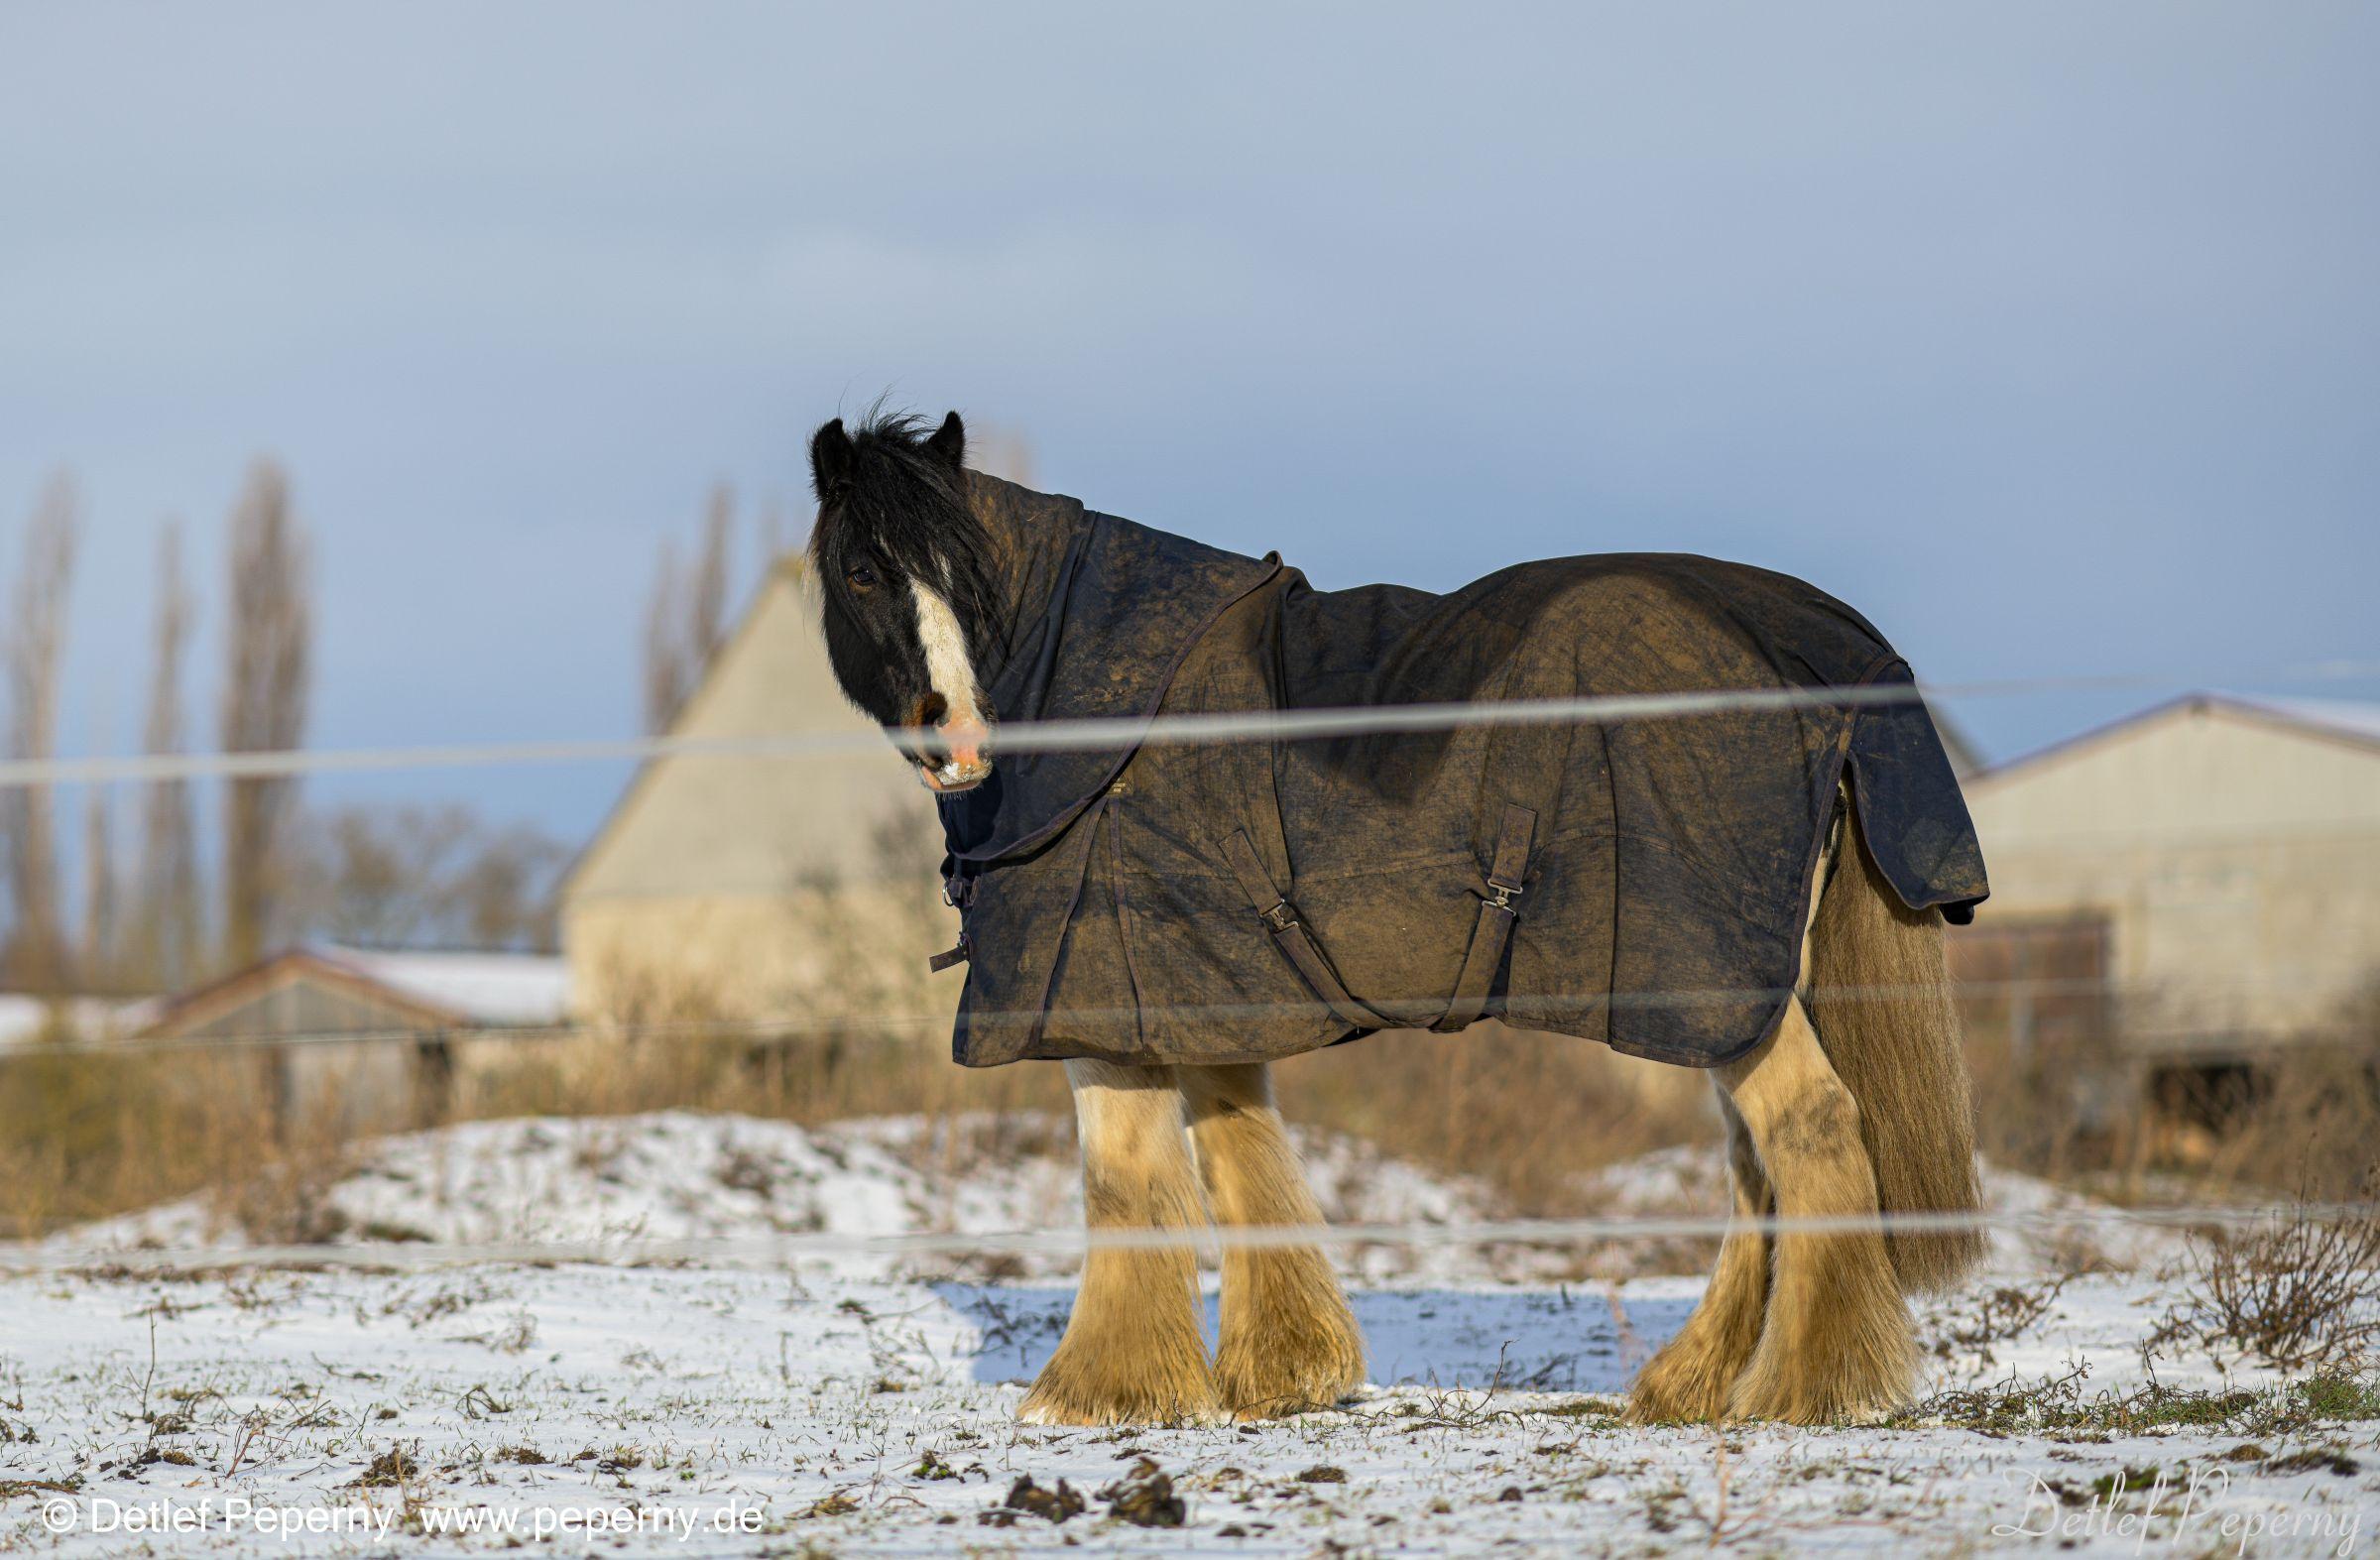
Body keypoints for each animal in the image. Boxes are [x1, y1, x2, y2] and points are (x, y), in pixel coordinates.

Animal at [804, 408, 1986, 1427]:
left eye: (969, 577)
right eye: (863, 570)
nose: (957, 736)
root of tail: (1811, 644)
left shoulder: (1094, 999)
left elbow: (1125, 1182)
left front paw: (1102, 1390)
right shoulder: (1205, 997)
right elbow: (1240, 1157)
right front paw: (1282, 1372)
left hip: (1708, 978)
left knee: (1812, 1131)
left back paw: (1808, 1388)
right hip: (1722, 993)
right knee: (1755, 1166)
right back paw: (1693, 1383)